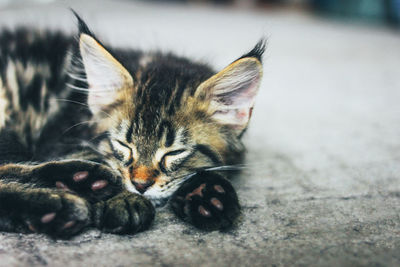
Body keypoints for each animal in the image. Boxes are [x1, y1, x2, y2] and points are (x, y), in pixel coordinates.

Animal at [0, 12, 264, 239]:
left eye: (174, 152)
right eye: (123, 145)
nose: (140, 185)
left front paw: (209, 194)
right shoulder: (60, 136)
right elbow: (98, 158)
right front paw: (125, 200)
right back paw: (66, 195)